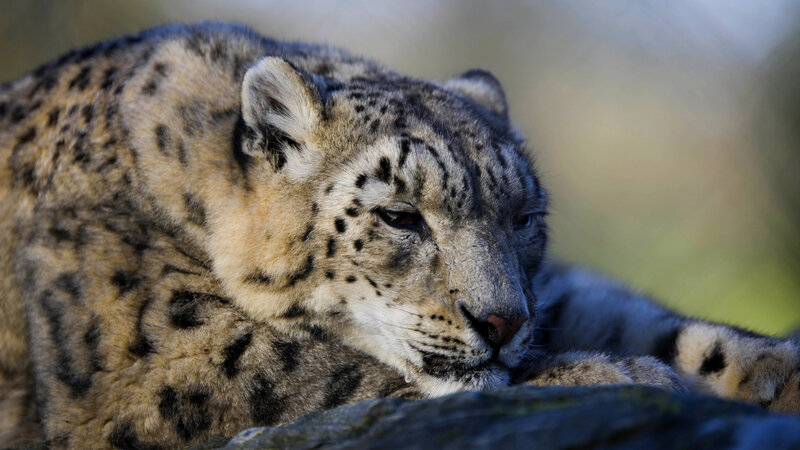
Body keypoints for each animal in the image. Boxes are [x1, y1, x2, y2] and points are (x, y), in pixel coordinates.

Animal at [1, 22, 799, 449]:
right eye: (400, 216)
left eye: (523, 218)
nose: (502, 322)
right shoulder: (148, 360)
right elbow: (321, 373)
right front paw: (617, 375)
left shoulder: (550, 292)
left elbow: (637, 317)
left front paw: (777, 369)